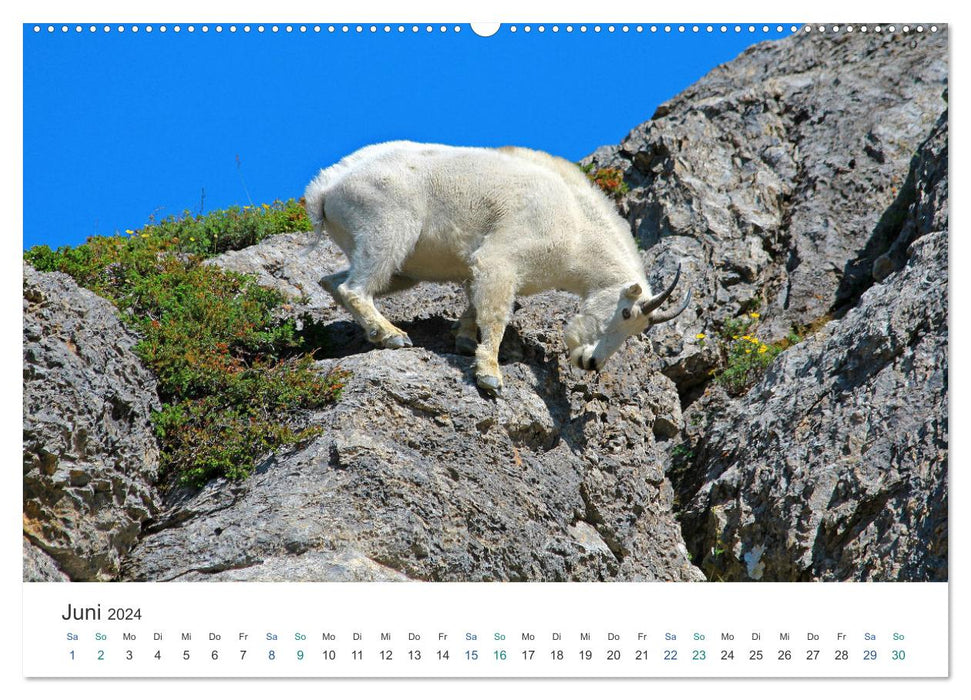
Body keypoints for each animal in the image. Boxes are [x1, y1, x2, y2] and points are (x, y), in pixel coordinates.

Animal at [304, 142, 692, 394]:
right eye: (626, 313)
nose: (591, 363)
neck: (578, 229)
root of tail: (324, 189)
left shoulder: (486, 270)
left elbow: (475, 305)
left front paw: (462, 339)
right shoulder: (502, 260)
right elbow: (495, 315)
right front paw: (489, 375)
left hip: (396, 264)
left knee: (334, 282)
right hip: (387, 228)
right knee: (355, 287)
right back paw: (391, 335)